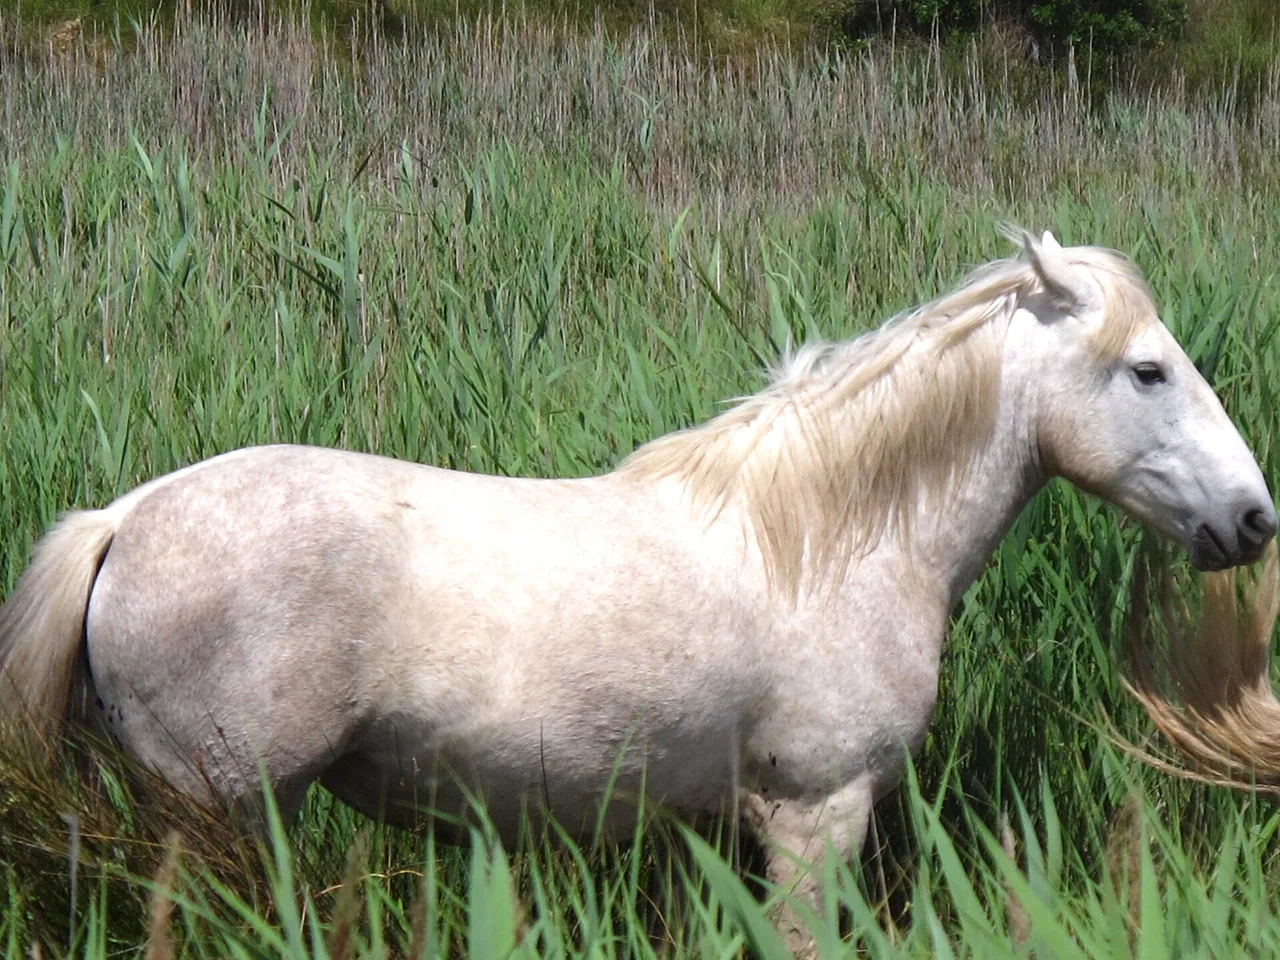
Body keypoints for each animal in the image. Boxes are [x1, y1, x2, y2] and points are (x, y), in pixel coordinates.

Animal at [0, 230, 1274, 953]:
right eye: (1146, 370)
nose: (1252, 518)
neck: (829, 538)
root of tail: (125, 518)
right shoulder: (816, 814)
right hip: (219, 815)